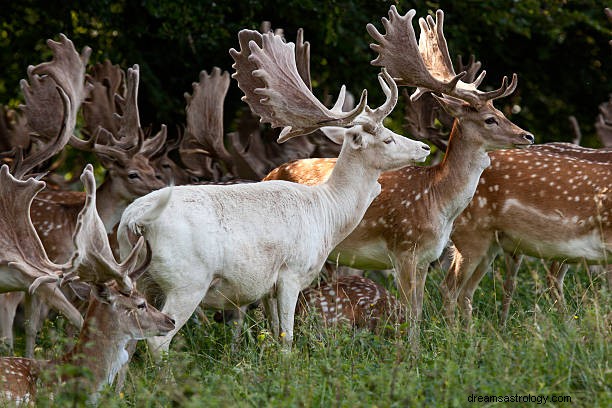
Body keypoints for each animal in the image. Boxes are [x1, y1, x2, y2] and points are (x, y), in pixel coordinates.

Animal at [116, 28, 430, 354]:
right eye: (387, 138)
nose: (424, 148)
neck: (328, 214)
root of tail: (134, 222)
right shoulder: (291, 273)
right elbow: (288, 338)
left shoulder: (266, 288)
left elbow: (273, 334)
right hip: (186, 281)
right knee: (158, 342)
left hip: (138, 279)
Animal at [266, 6, 532, 344]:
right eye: (490, 119)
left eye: (500, 113)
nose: (527, 136)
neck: (437, 199)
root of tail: (267, 173)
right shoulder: (403, 250)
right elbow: (412, 312)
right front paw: (412, 351)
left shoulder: (426, 258)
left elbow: (418, 308)